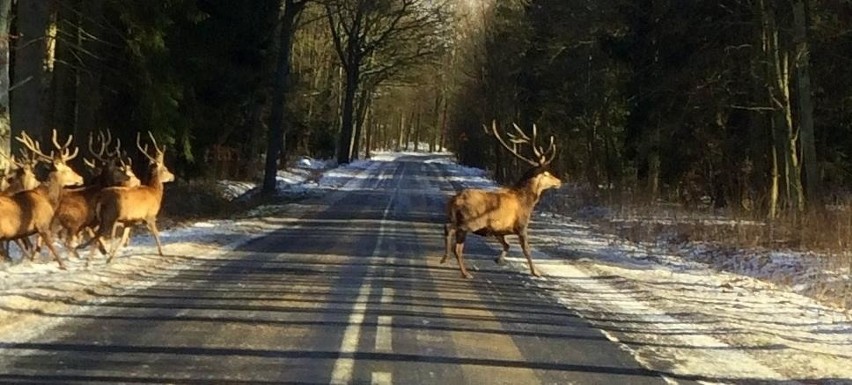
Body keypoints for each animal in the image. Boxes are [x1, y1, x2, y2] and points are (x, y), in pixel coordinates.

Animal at [0, 129, 85, 268]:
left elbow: (38, 247)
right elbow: (50, 245)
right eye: (67, 169)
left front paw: (32, 261)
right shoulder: (43, 224)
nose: (81, 178)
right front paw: (63, 265)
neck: (49, 200)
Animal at [82, 131, 177, 260]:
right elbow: (156, 234)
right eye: (165, 169)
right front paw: (161, 252)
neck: (154, 193)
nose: (173, 176)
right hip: (109, 216)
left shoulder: (131, 220)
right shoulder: (150, 215)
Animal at [442, 121, 564, 278]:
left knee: (455, 242)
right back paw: (460, 268)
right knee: (452, 235)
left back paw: (449, 260)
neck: (527, 201)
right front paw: (535, 272)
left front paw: (498, 259)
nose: (559, 181)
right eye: (547, 173)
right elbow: (527, 250)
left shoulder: (498, 230)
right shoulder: (521, 226)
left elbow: (507, 245)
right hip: (471, 220)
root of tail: (454, 201)